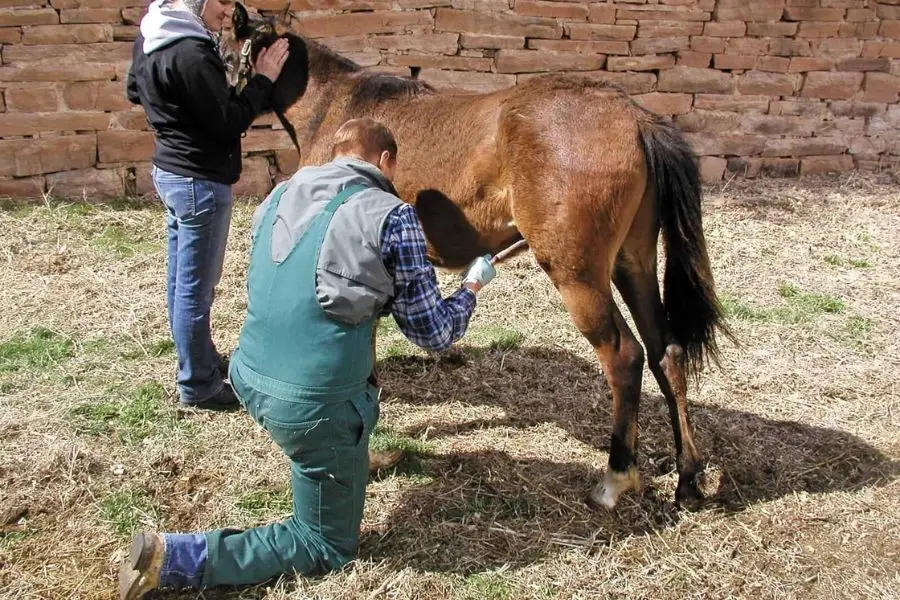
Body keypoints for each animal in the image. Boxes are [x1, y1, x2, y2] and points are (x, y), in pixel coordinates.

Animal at [221, 3, 736, 510]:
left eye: (226, 55)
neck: (338, 107)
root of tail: (633, 117)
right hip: (633, 264)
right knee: (666, 354)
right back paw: (688, 479)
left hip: (579, 277)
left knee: (625, 358)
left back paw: (615, 478)